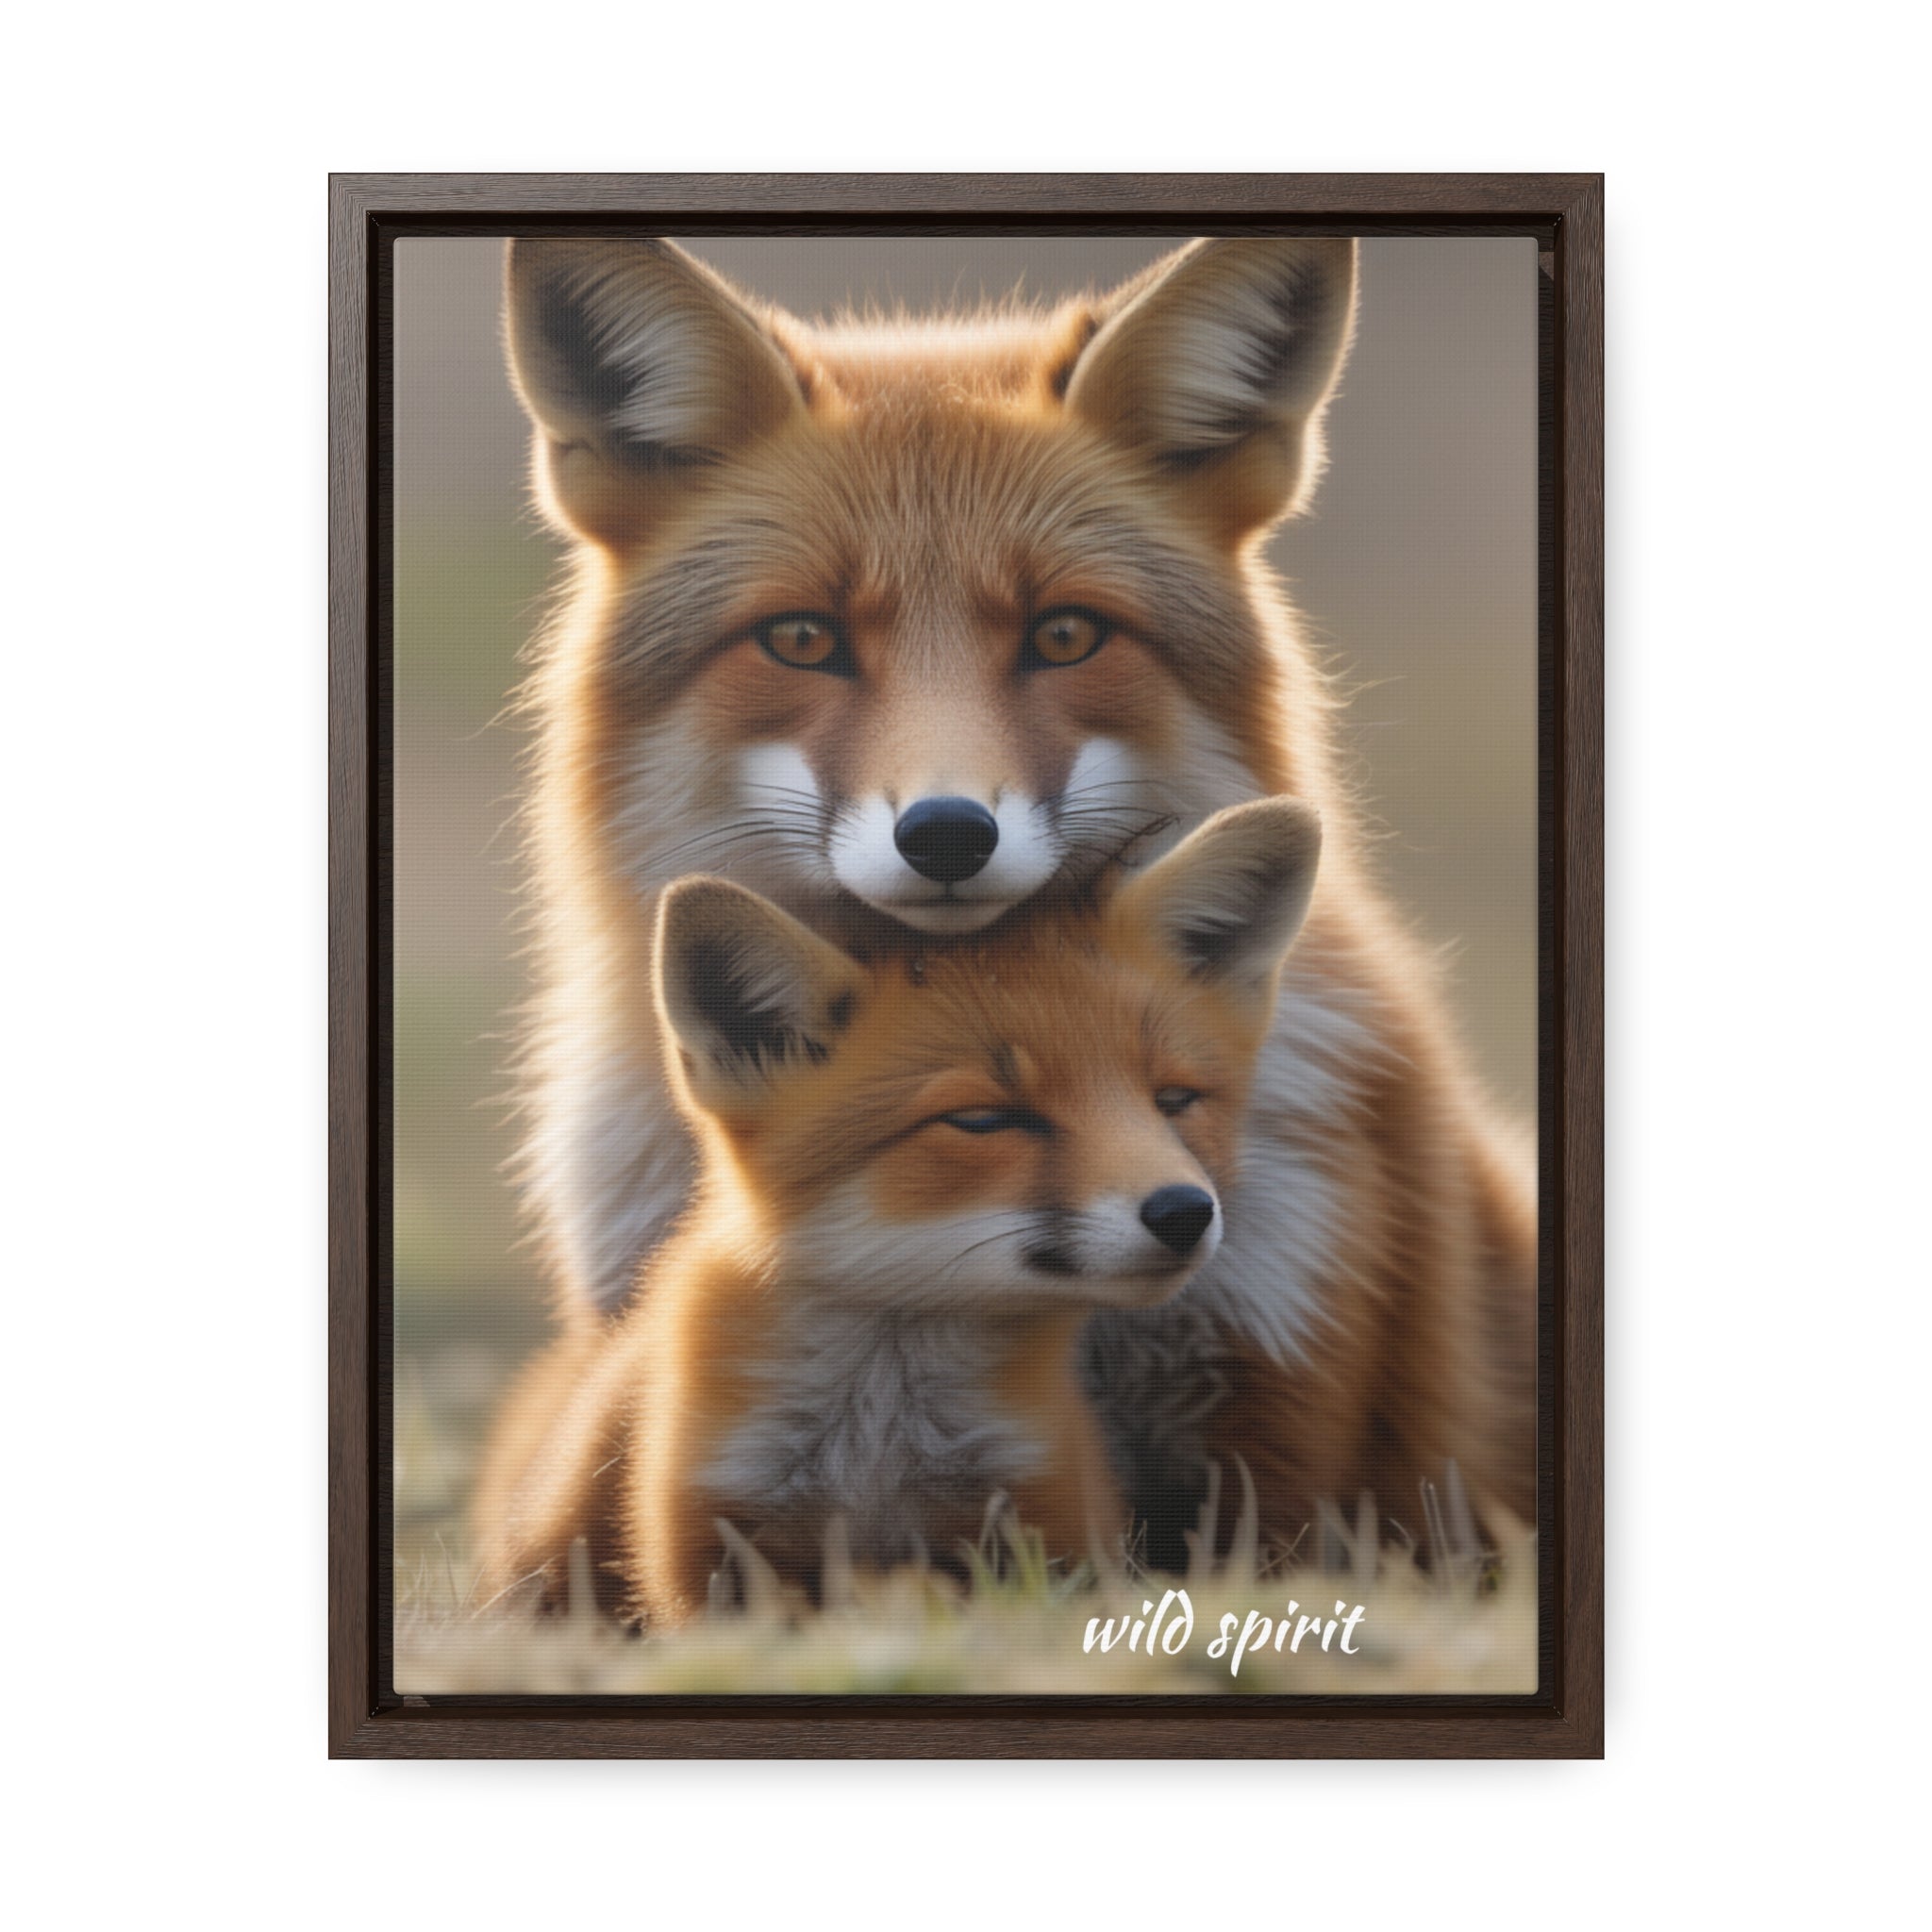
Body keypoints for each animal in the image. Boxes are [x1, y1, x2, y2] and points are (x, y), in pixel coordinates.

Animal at [472, 799, 1324, 1624]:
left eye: (1174, 1101)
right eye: (984, 1119)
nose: (1184, 1212)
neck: (879, 1441)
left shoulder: (1044, 1520)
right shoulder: (712, 1544)